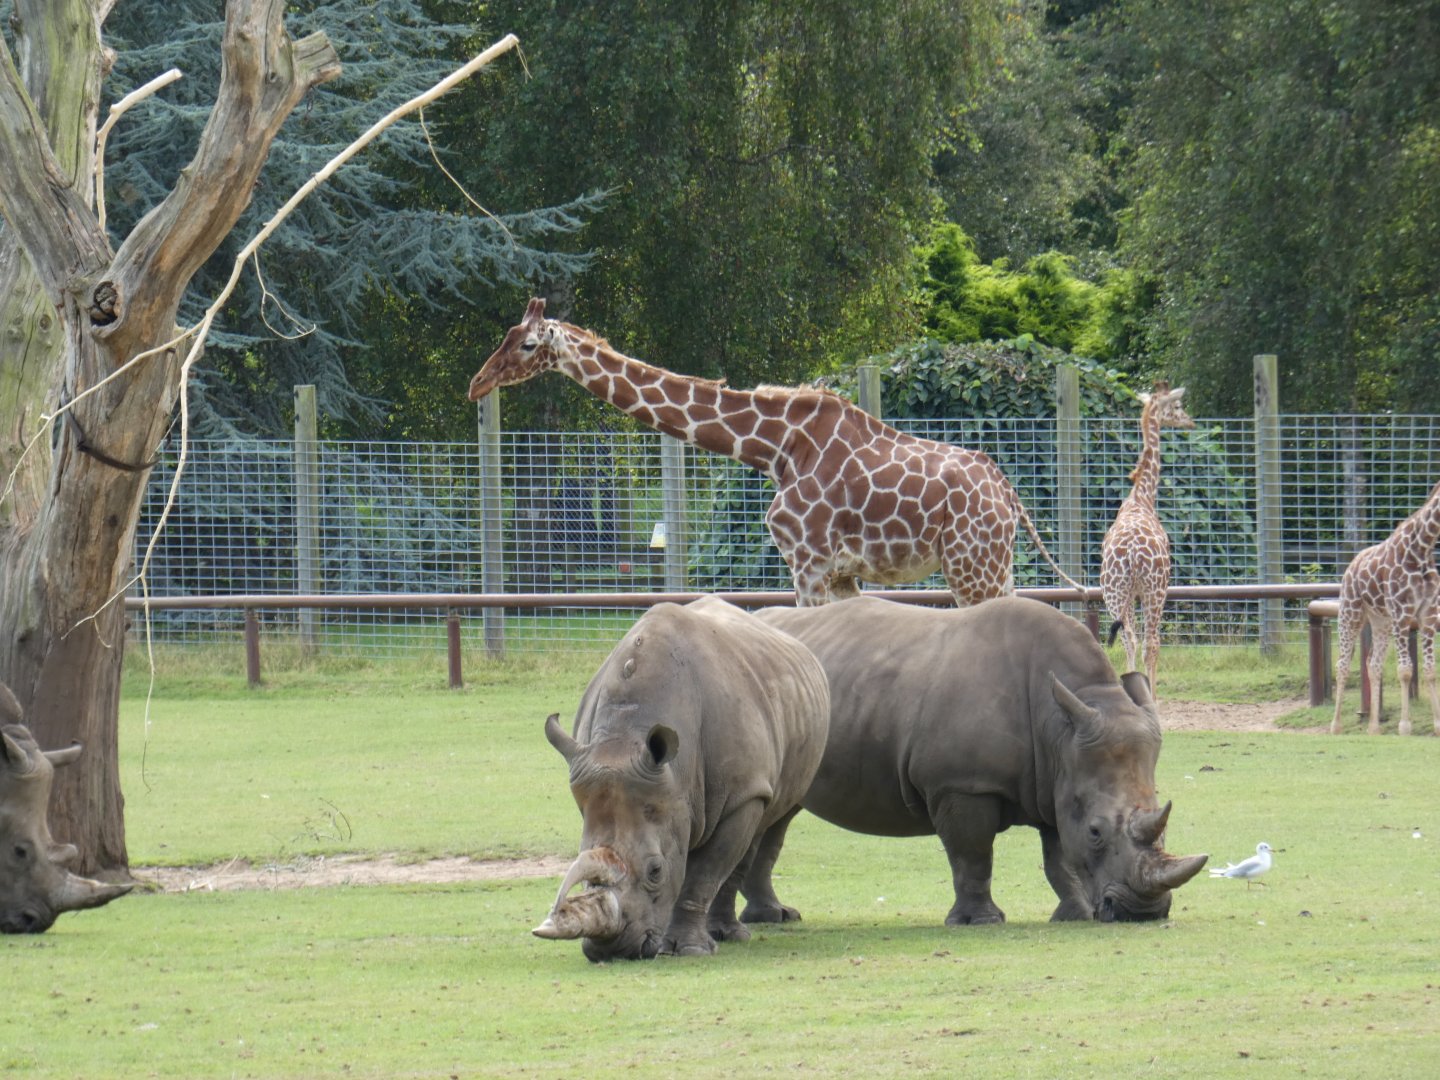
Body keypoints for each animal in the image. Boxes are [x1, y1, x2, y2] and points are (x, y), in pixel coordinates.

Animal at [468, 299, 1084, 606]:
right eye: (502, 337)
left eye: (526, 344)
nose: (476, 383)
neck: (776, 448)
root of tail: (1009, 495)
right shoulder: (838, 572)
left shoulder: (806, 561)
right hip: (992, 563)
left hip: (971, 565)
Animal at [534, 596, 829, 961]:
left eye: (656, 871)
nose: (613, 951)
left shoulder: (743, 793)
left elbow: (704, 873)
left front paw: (689, 950)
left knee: (769, 821)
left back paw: (731, 934)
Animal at [744, 596, 1208, 925]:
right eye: (1096, 831)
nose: (1143, 914)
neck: (1059, 730)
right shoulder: (962, 784)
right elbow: (973, 854)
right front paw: (980, 921)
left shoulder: (1058, 781)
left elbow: (1060, 858)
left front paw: (1074, 915)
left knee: (778, 817)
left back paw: (776, 918)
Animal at [1100, 380, 1194, 692]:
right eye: (1177, 405)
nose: (1190, 421)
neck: (1141, 498)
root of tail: (1131, 553)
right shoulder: (1155, 589)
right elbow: (1152, 643)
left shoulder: (1130, 593)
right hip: (1155, 590)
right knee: (1150, 641)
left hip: (1113, 592)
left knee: (1127, 637)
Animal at [1330, 479, 1440, 735]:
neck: (1422, 548)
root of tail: (1350, 566)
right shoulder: (1402, 612)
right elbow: (1405, 670)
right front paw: (1405, 727)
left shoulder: (1428, 614)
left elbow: (1430, 670)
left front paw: (1438, 725)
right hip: (1350, 612)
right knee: (1342, 665)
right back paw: (1335, 726)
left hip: (1381, 620)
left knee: (1374, 663)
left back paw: (1373, 728)